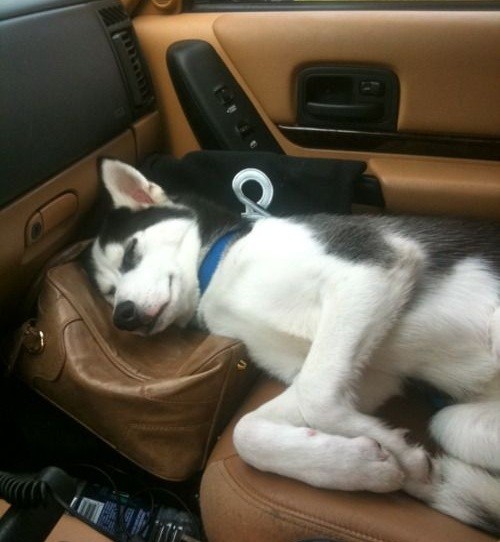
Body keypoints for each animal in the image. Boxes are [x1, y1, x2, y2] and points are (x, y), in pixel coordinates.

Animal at [86, 160, 500, 536]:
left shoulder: (369, 269)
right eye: (109, 293)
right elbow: (248, 432)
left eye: (131, 253)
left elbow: (317, 399)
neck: (218, 269)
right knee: (447, 426)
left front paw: (405, 458)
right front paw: (364, 464)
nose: (123, 316)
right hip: (454, 423)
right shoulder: (369, 376)